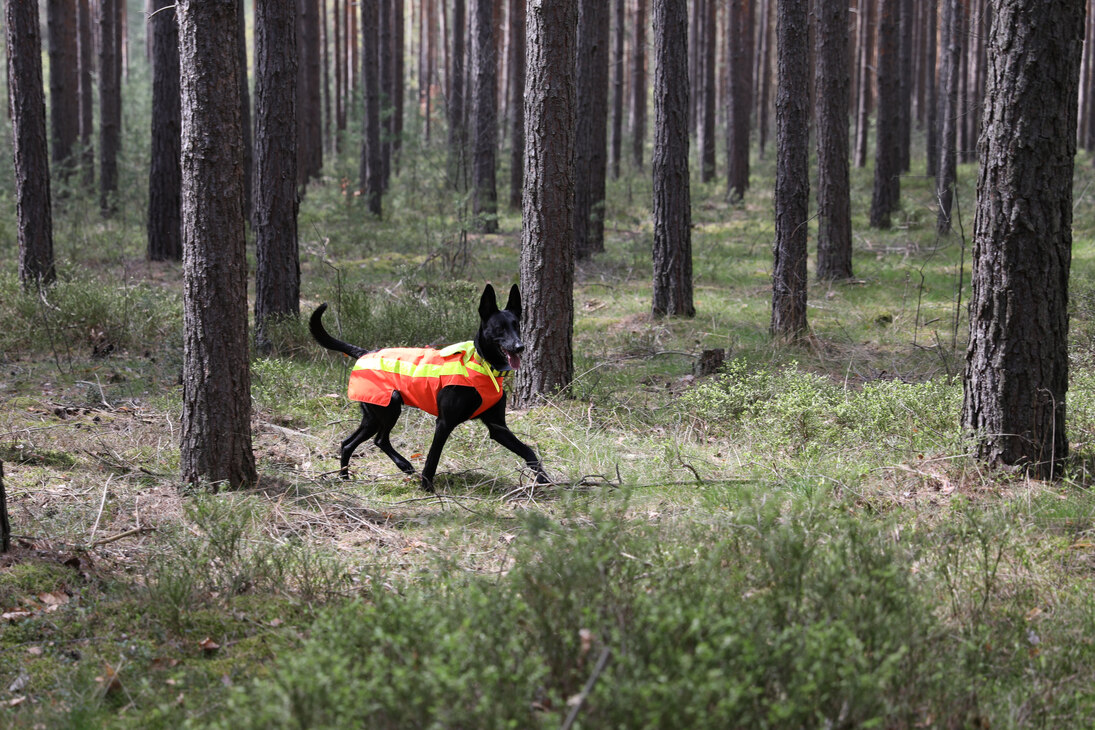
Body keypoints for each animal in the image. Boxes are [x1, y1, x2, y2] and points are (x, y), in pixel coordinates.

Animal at [308, 284, 547, 490]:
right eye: (499, 328)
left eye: (517, 326)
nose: (520, 347)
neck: (483, 365)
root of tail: (365, 353)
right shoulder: (444, 423)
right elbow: (433, 458)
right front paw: (427, 487)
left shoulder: (498, 428)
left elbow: (529, 453)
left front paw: (545, 481)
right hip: (389, 406)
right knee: (379, 439)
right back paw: (400, 466)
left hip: (373, 416)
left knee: (349, 443)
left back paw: (346, 477)